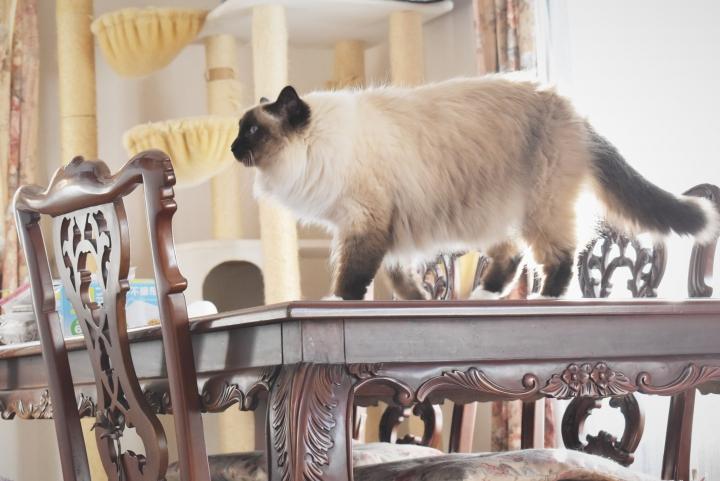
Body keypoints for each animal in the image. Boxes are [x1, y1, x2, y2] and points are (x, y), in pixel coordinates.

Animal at [231, 78, 719, 301]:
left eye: (251, 131)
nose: (233, 149)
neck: (316, 147)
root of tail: (572, 110)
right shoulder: (382, 229)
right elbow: (397, 276)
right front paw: (419, 300)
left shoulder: (365, 222)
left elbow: (353, 275)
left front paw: (338, 299)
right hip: (492, 212)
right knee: (513, 254)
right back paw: (486, 293)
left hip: (538, 207)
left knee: (558, 254)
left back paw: (546, 296)